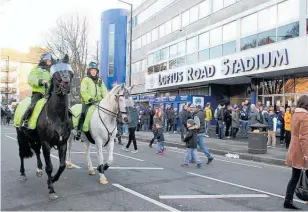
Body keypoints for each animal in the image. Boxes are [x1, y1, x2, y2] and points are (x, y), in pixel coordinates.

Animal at [15, 54, 73, 199]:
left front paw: (52, 179)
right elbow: (50, 167)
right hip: (21, 137)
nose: (66, 84)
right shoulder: (46, 143)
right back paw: (23, 174)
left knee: (36, 151)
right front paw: (51, 189)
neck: (57, 116)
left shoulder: (62, 143)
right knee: (21, 154)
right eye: (56, 73)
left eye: (70, 72)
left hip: (34, 138)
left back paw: (39, 169)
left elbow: (62, 165)